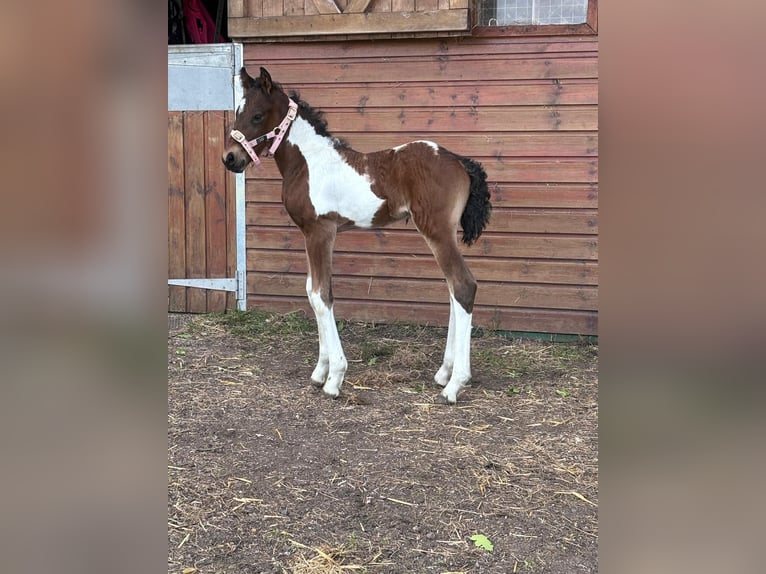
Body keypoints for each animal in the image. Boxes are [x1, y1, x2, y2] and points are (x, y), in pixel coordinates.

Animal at [222, 67, 492, 404]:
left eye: (258, 115)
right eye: (238, 112)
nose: (230, 158)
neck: (309, 162)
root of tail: (460, 162)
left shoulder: (321, 231)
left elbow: (321, 295)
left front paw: (334, 378)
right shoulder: (310, 234)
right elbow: (311, 291)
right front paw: (320, 371)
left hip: (437, 230)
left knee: (463, 286)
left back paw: (455, 384)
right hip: (445, 234)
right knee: (454, 290)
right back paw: (444, 373)